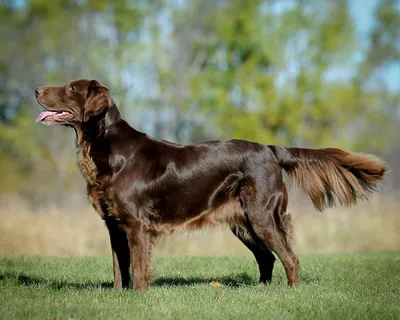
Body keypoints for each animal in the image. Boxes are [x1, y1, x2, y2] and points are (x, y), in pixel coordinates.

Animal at [35, 79, 388, 290]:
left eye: (71, 87)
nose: (36, 91)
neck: (106, 149)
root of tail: (270, 149)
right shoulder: (113, 224)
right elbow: (118, 269)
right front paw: (119, 297)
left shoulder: (136, 224)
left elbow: (137, 268)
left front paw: (137, 296)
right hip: (243, 222)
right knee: (268, 257)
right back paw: (261, 291)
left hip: (262, 214)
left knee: (290, 257)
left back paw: (289, 292)